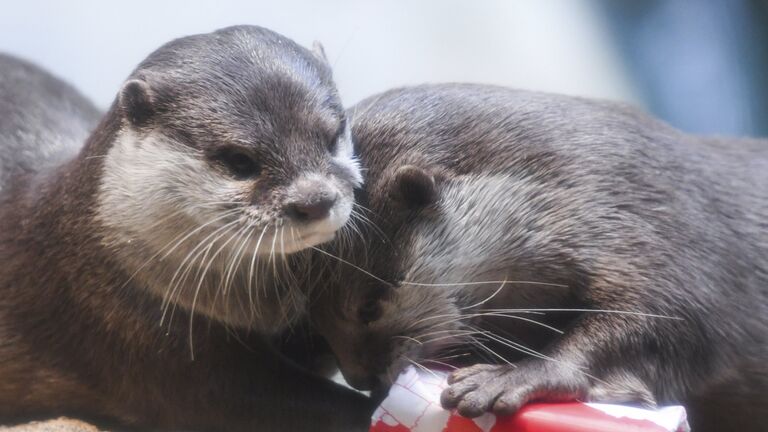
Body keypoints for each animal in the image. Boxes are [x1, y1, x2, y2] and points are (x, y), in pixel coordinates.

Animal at [312, 83, 768, 432]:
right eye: (316, 330)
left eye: (369, 306)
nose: (361, 377)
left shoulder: (671, 248)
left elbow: (672, 321)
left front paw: (513, 375)